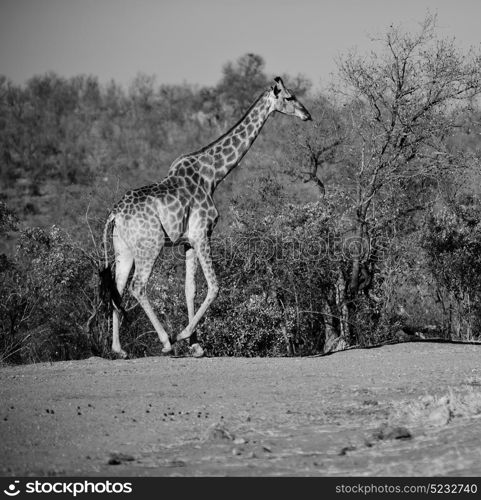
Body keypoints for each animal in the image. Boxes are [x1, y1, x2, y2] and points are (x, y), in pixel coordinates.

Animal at [101, 76, 312, 358]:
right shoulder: (203, 233)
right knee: (138, 286)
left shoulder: (188, 241)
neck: (213, 175)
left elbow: (190, 289)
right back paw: (166, 342)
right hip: (150, 244)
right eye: (289, 97)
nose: (307, 114)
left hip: (123, 248)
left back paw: (118, 349)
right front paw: (183, 335)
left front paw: (196, 345)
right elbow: (214, 286)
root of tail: (115, 214)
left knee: (118, 286)